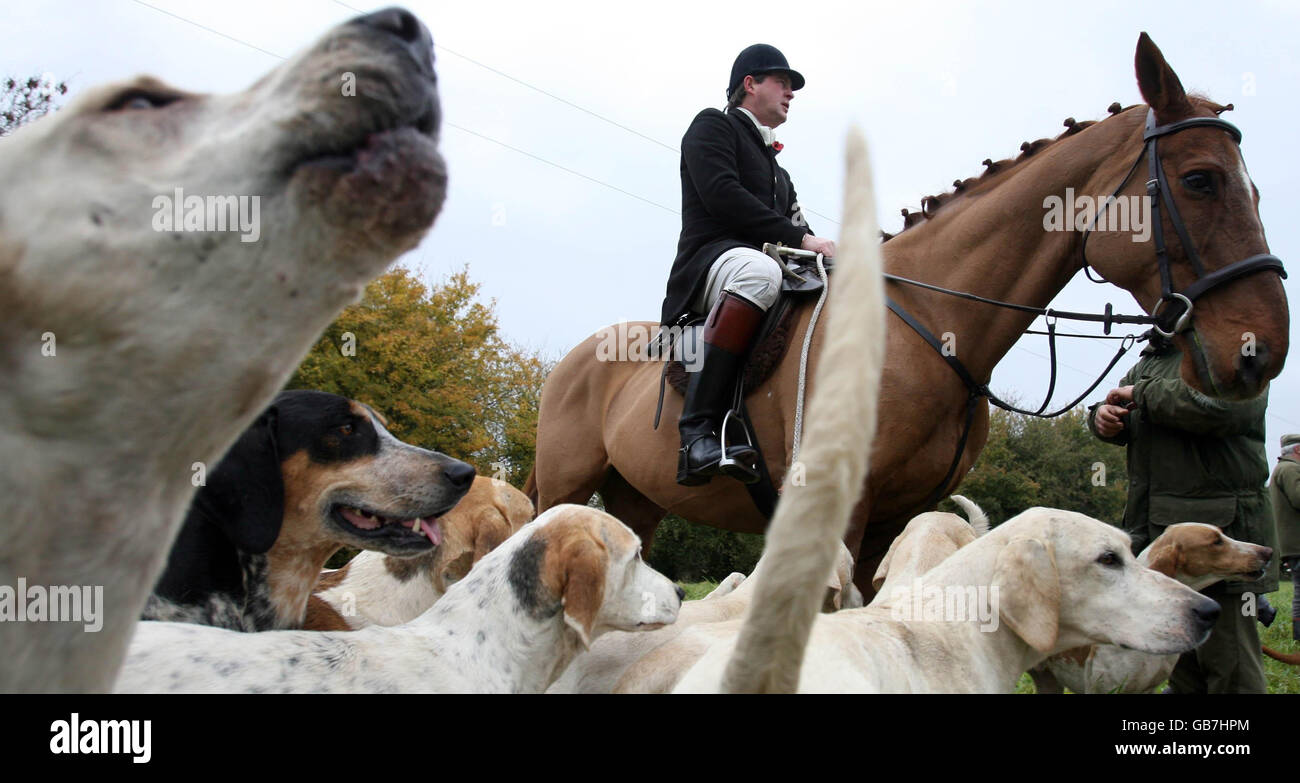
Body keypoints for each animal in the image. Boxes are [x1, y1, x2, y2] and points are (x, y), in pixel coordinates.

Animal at [527, 33, 1289, 595]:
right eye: (1200, 180)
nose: (1264, 349)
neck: (931, 321)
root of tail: (571, 361)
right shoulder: (845, 508)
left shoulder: (895, 519)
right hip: (566, 486)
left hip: (637, 499)